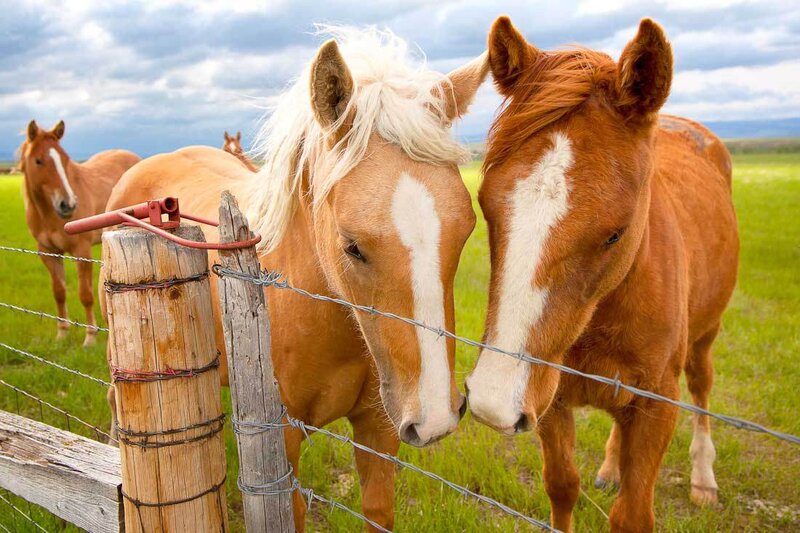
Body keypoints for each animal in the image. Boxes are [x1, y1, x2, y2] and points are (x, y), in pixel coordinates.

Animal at [17, 120, 140, 347]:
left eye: (65, 159)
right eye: (38, 161)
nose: (68, 204)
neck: (49, 215)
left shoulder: (81, 250)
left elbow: (85, 294)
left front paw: (90, 337)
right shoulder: (47, 252)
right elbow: (59, 292)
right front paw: (62, 333)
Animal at [104, 27, 488, 530]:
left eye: (465, 229)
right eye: (352, 245)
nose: (437, 415)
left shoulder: (378, 431)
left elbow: (377, 510)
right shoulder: (283, 440)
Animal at [464, 17, 739, 532]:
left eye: (616, 233)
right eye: (486, 207)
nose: (493, 398)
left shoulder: (656, 406)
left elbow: (632, 512)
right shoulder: (547, 394)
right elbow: (561, 486)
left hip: (705, 337)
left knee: (703, 390)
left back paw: (704, 479)